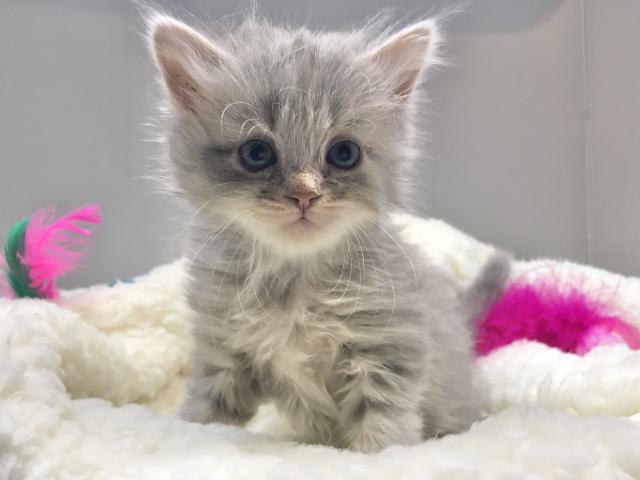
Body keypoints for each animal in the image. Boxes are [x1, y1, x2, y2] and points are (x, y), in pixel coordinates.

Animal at [148, 12, 509, 452]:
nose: (304, 194)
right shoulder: (224, 351)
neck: (293, 285)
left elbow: (384, 428)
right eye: (257, 153)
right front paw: (188, 434)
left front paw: (379, 456)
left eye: (344, 154)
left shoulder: (388, 350)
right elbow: (206, 413)